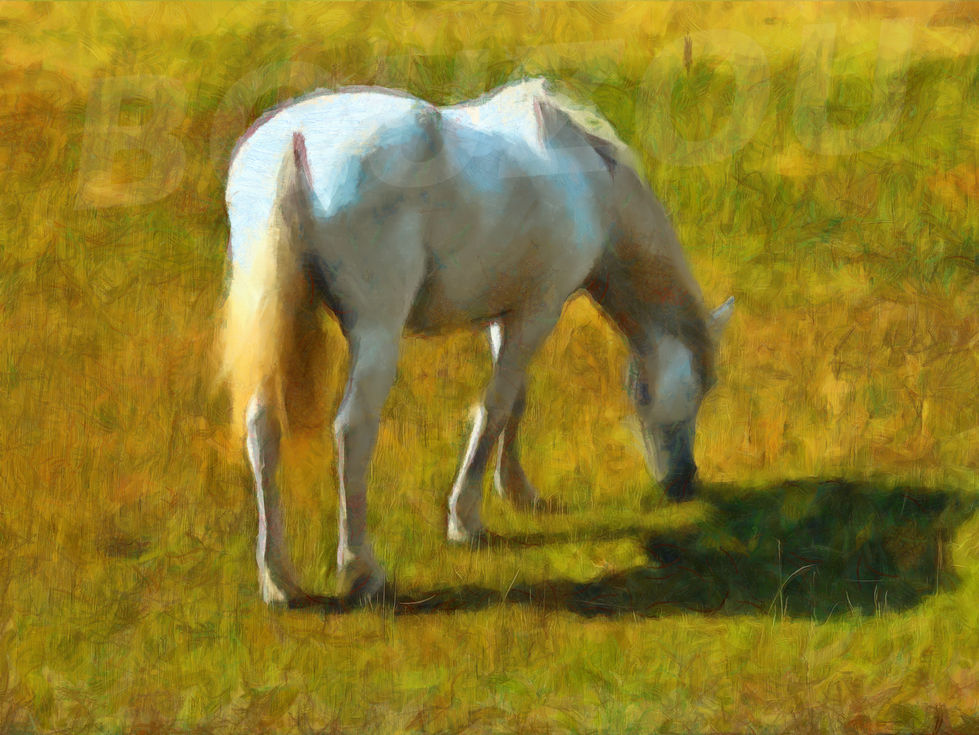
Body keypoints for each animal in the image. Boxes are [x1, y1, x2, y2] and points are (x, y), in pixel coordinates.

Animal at [220, 78, 734, 607]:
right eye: (698, 390)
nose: (684, 482)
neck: (587, 176)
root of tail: (297, 138)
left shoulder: (504, 315)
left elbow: (515, 401)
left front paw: (519, 493)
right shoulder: (538, 311)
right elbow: (496, 406)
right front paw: (466, 521)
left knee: (262, 426)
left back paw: (278, 582)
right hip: (377, 330)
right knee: (353, 429)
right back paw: (362, 571)